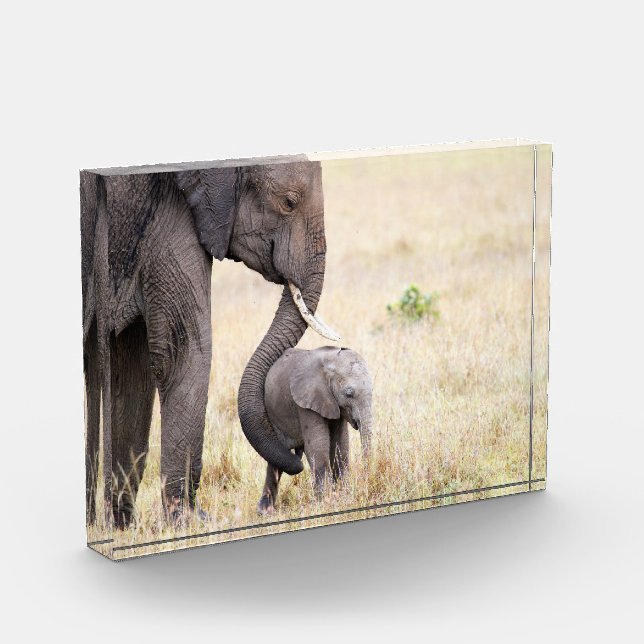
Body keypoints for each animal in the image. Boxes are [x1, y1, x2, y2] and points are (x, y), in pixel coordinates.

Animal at [81, 157, 340, 528]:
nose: (297, 459)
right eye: (289, 202)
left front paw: (124, 529)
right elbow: (186, 348)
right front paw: (190, 521)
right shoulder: (170, 209)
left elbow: (131, 369)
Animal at [257, 346, 374, 514]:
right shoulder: (306, 400)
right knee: (276, 456)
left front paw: (343, 495)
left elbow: (340, 445)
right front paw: (326, 502)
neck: (330, 361)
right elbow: (318, 447)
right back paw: (265, 511)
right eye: (348, 394)